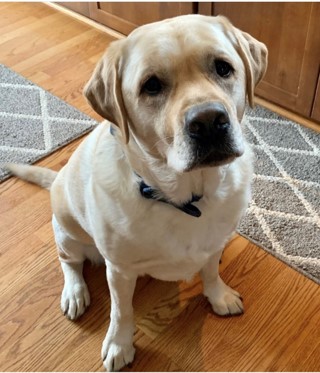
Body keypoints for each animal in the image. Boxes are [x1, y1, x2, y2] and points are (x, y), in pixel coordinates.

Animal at [5, 13, 268, 370]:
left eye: (223, 68)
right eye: (151, 85)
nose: (209, 121)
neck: (181, 198)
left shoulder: (213, 245)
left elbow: (211, 272)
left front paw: (219, 296)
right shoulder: (119, 271)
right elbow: (121, 311)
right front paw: (119, 345)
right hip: (67, 228)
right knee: (69, 262)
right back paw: (75, 292)